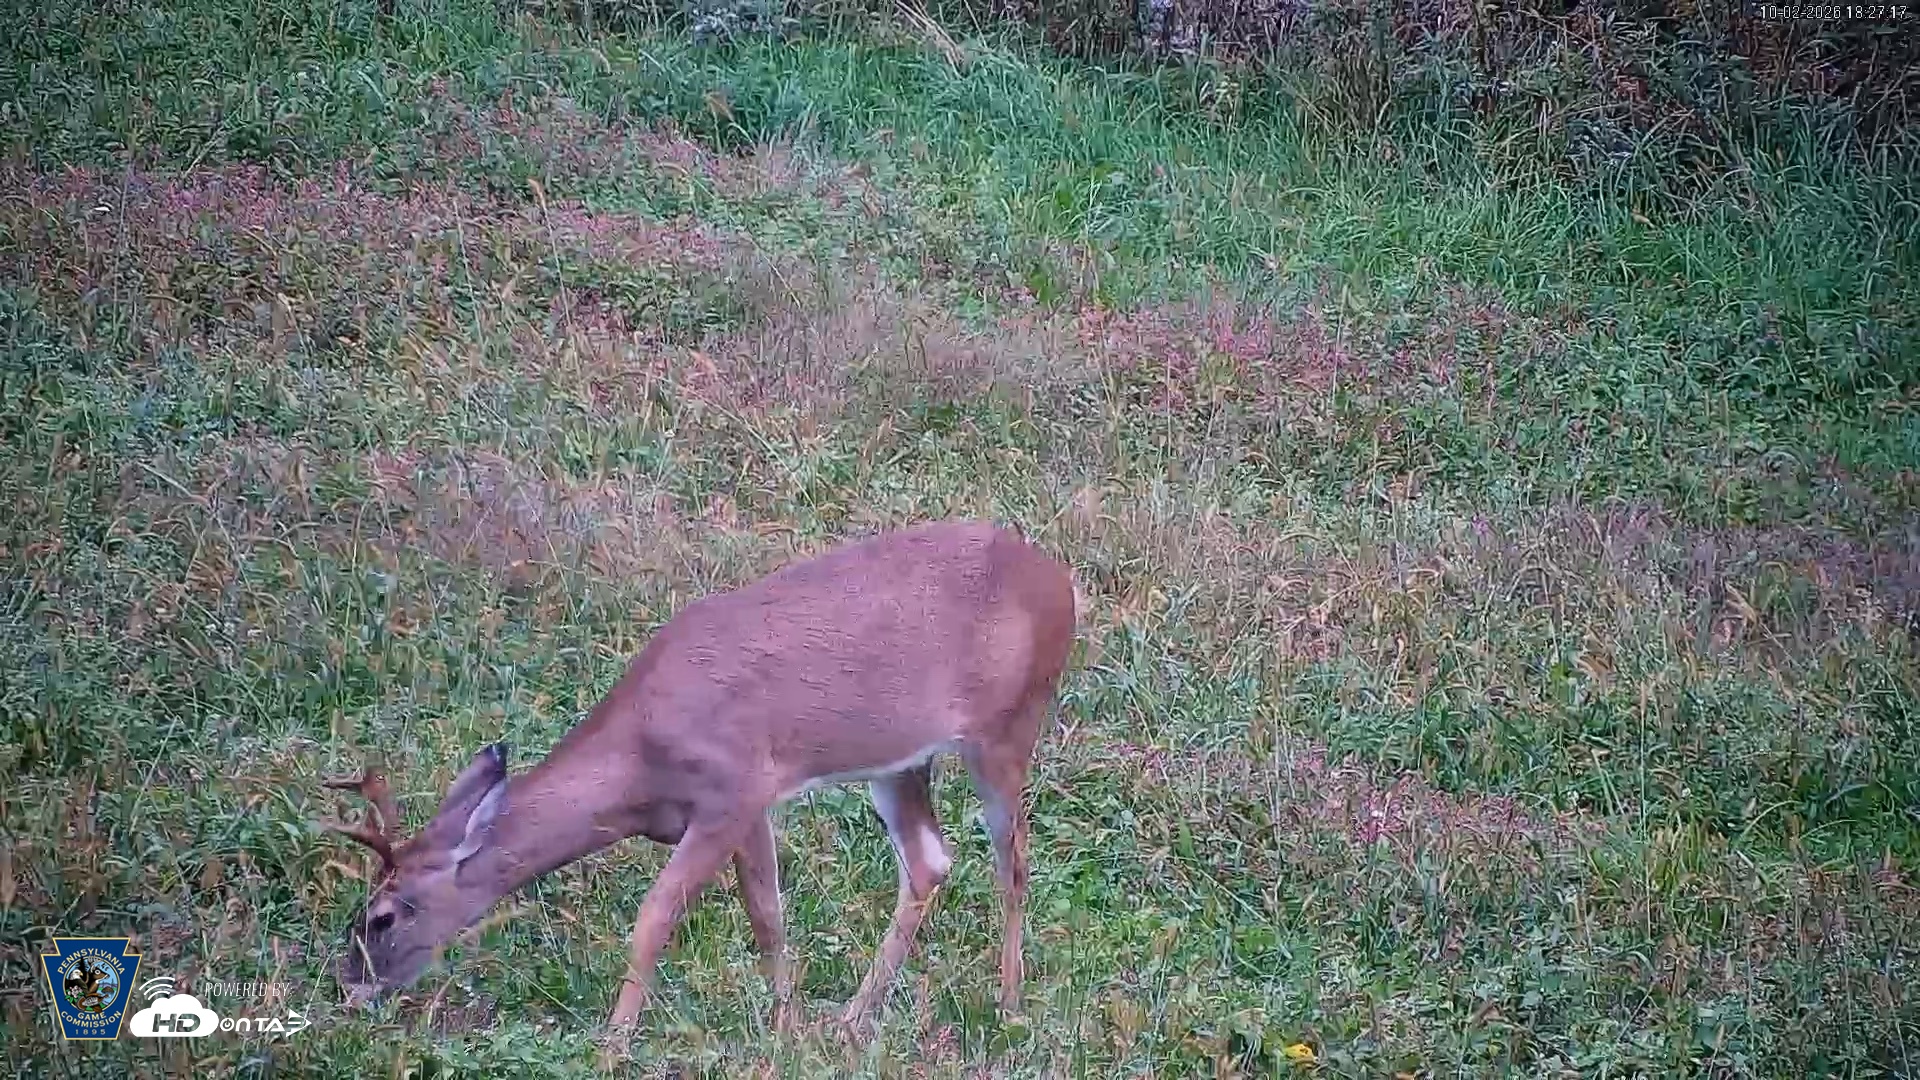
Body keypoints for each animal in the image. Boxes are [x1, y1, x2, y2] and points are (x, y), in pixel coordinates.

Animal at [316, 519, 1080, 1044]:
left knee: (1013, 858)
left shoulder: (729, 791)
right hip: (897, 762)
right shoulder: (750, 804)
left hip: (1007, 727)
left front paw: (614, 1042)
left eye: (383, 917)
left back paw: (1009, 1005)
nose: (349, 986)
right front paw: (785, 1027)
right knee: (929, 860)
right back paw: (853, 1015)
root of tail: (1059, 582)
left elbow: (656, 916)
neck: (638, 763)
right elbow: (768, 914)